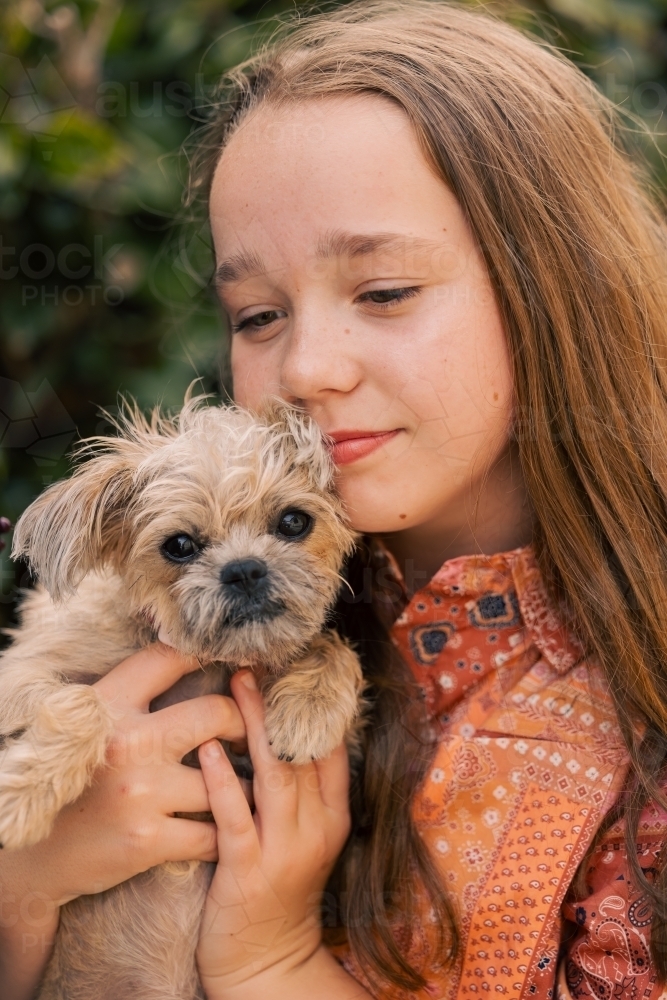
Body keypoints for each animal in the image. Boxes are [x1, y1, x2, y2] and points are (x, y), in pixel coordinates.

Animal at [0, 398, 366, 1000]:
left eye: (294, 521)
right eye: (178, 546)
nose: (244, 569)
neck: (209, 665)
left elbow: (332, 645)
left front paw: (307, 711)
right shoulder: (20, 672)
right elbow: (85, 703)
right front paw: (22, 797)